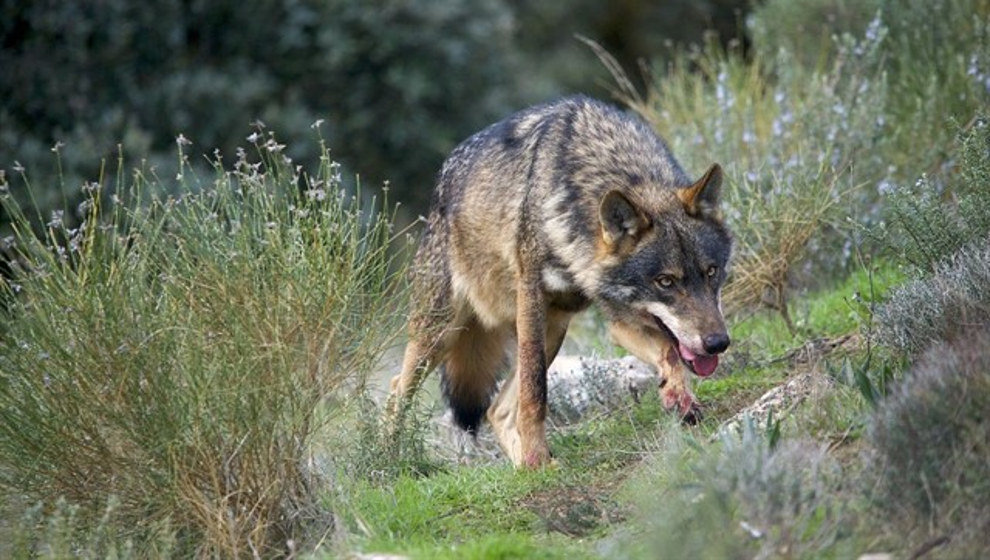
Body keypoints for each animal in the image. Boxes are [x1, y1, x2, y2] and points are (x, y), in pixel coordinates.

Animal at [388, 96, 736, 468]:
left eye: (711, 272)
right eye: (666, 281)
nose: (718, 343)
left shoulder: (619, 318)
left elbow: (668, 352)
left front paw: (679, 397)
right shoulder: (532, 298)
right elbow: (535, 392)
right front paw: (536, 452)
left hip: (553, 329)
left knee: (497, 410)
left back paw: (528, 468)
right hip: (441, 334)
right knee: (397, 391)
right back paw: (388, 459)